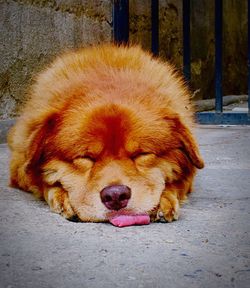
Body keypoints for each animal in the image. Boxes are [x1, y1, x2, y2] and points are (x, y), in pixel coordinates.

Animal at [7, 46, 204, 224]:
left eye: (141, 154)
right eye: (85, 157)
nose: (116, 195)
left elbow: (177, 184)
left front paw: (164, 201)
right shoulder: (19, 167)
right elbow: (43, 182)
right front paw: (62, 198)